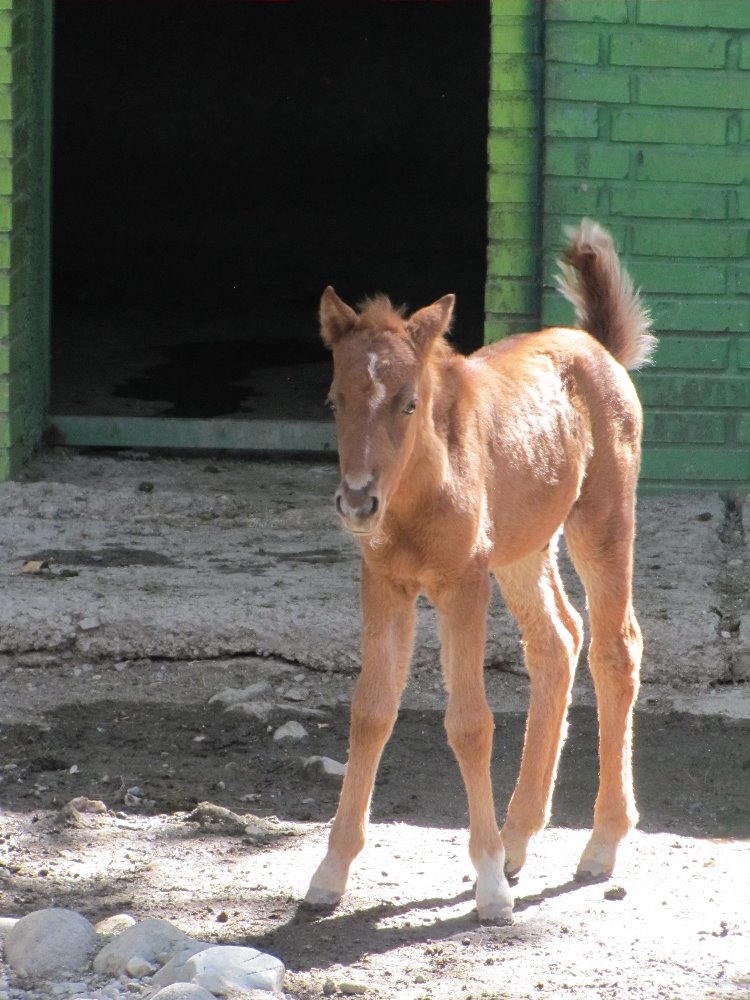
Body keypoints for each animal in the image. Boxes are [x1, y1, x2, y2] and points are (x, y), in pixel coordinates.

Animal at [305, 219, 655, 923]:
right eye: (333, 401)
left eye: (410, 403)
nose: (357, 502)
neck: (417, 494)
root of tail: (598, 346)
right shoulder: (384, 582)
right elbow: (370, 711)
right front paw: (329, 875)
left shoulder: (461, 582)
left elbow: (470, 722)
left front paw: (490, 884)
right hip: (523, 548)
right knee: (557, 642)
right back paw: (520, 839)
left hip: (601, 521)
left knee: (614, 647)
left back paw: (600, 844)